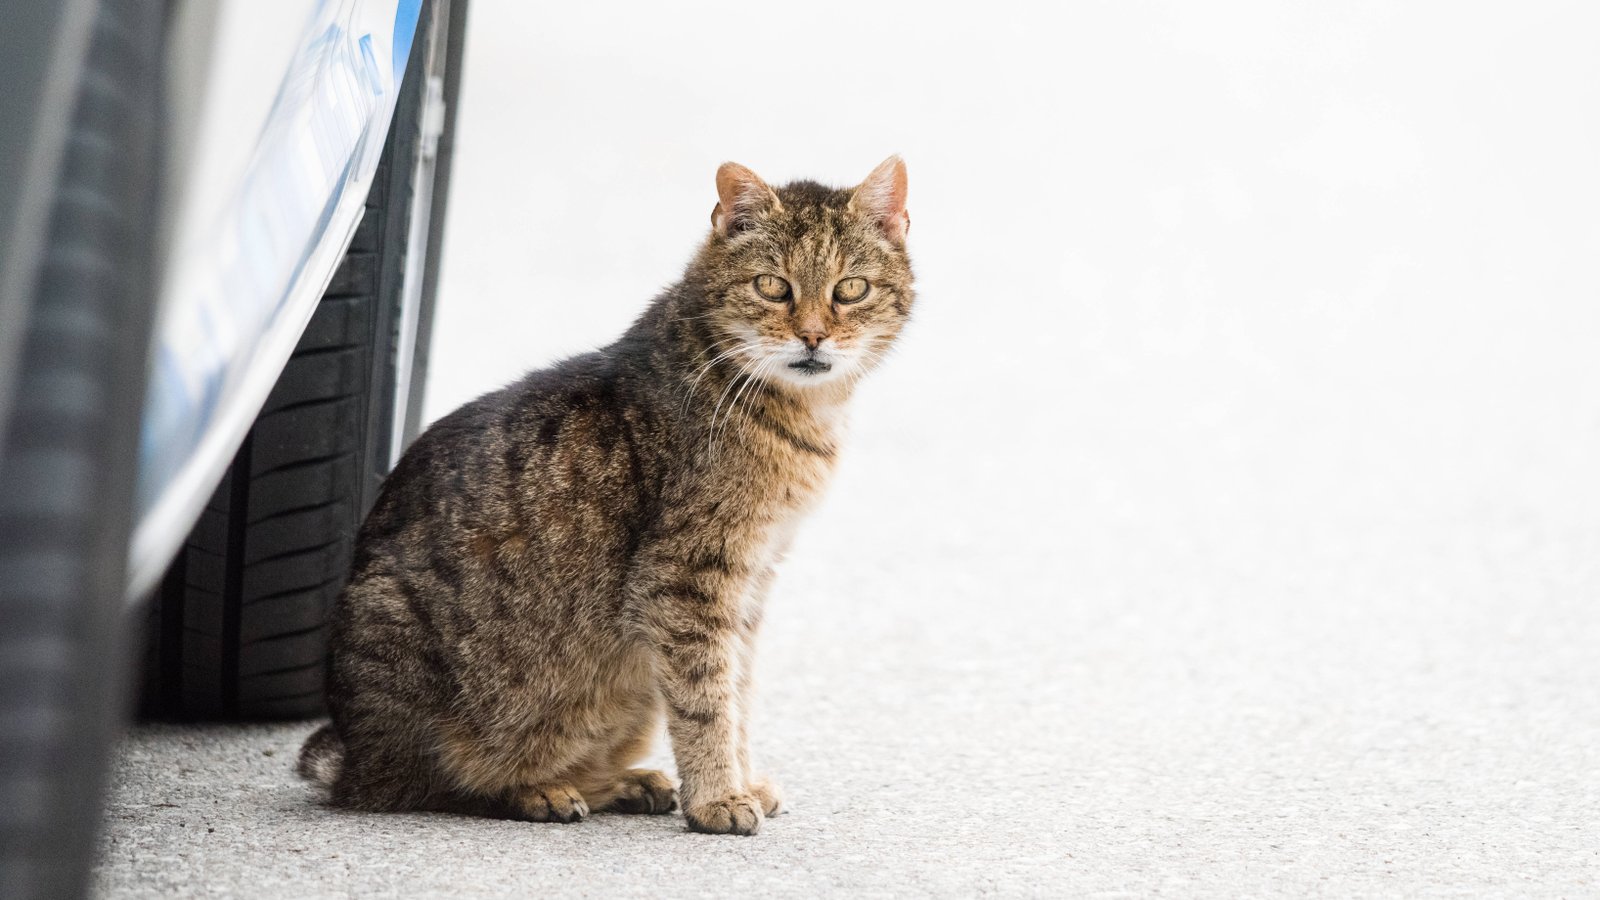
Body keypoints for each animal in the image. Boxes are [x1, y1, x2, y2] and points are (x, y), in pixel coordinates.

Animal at [300, 156, 921, 832]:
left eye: (850, 289)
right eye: (772, 287)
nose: (812, 336)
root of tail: (353, 758)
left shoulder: (753, 578)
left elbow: (737, 691)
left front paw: (741, 781)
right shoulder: (685, 578)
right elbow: (706, 700)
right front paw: (718, 797)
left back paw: (623, 783)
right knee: (434, 785)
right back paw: (534, 791)